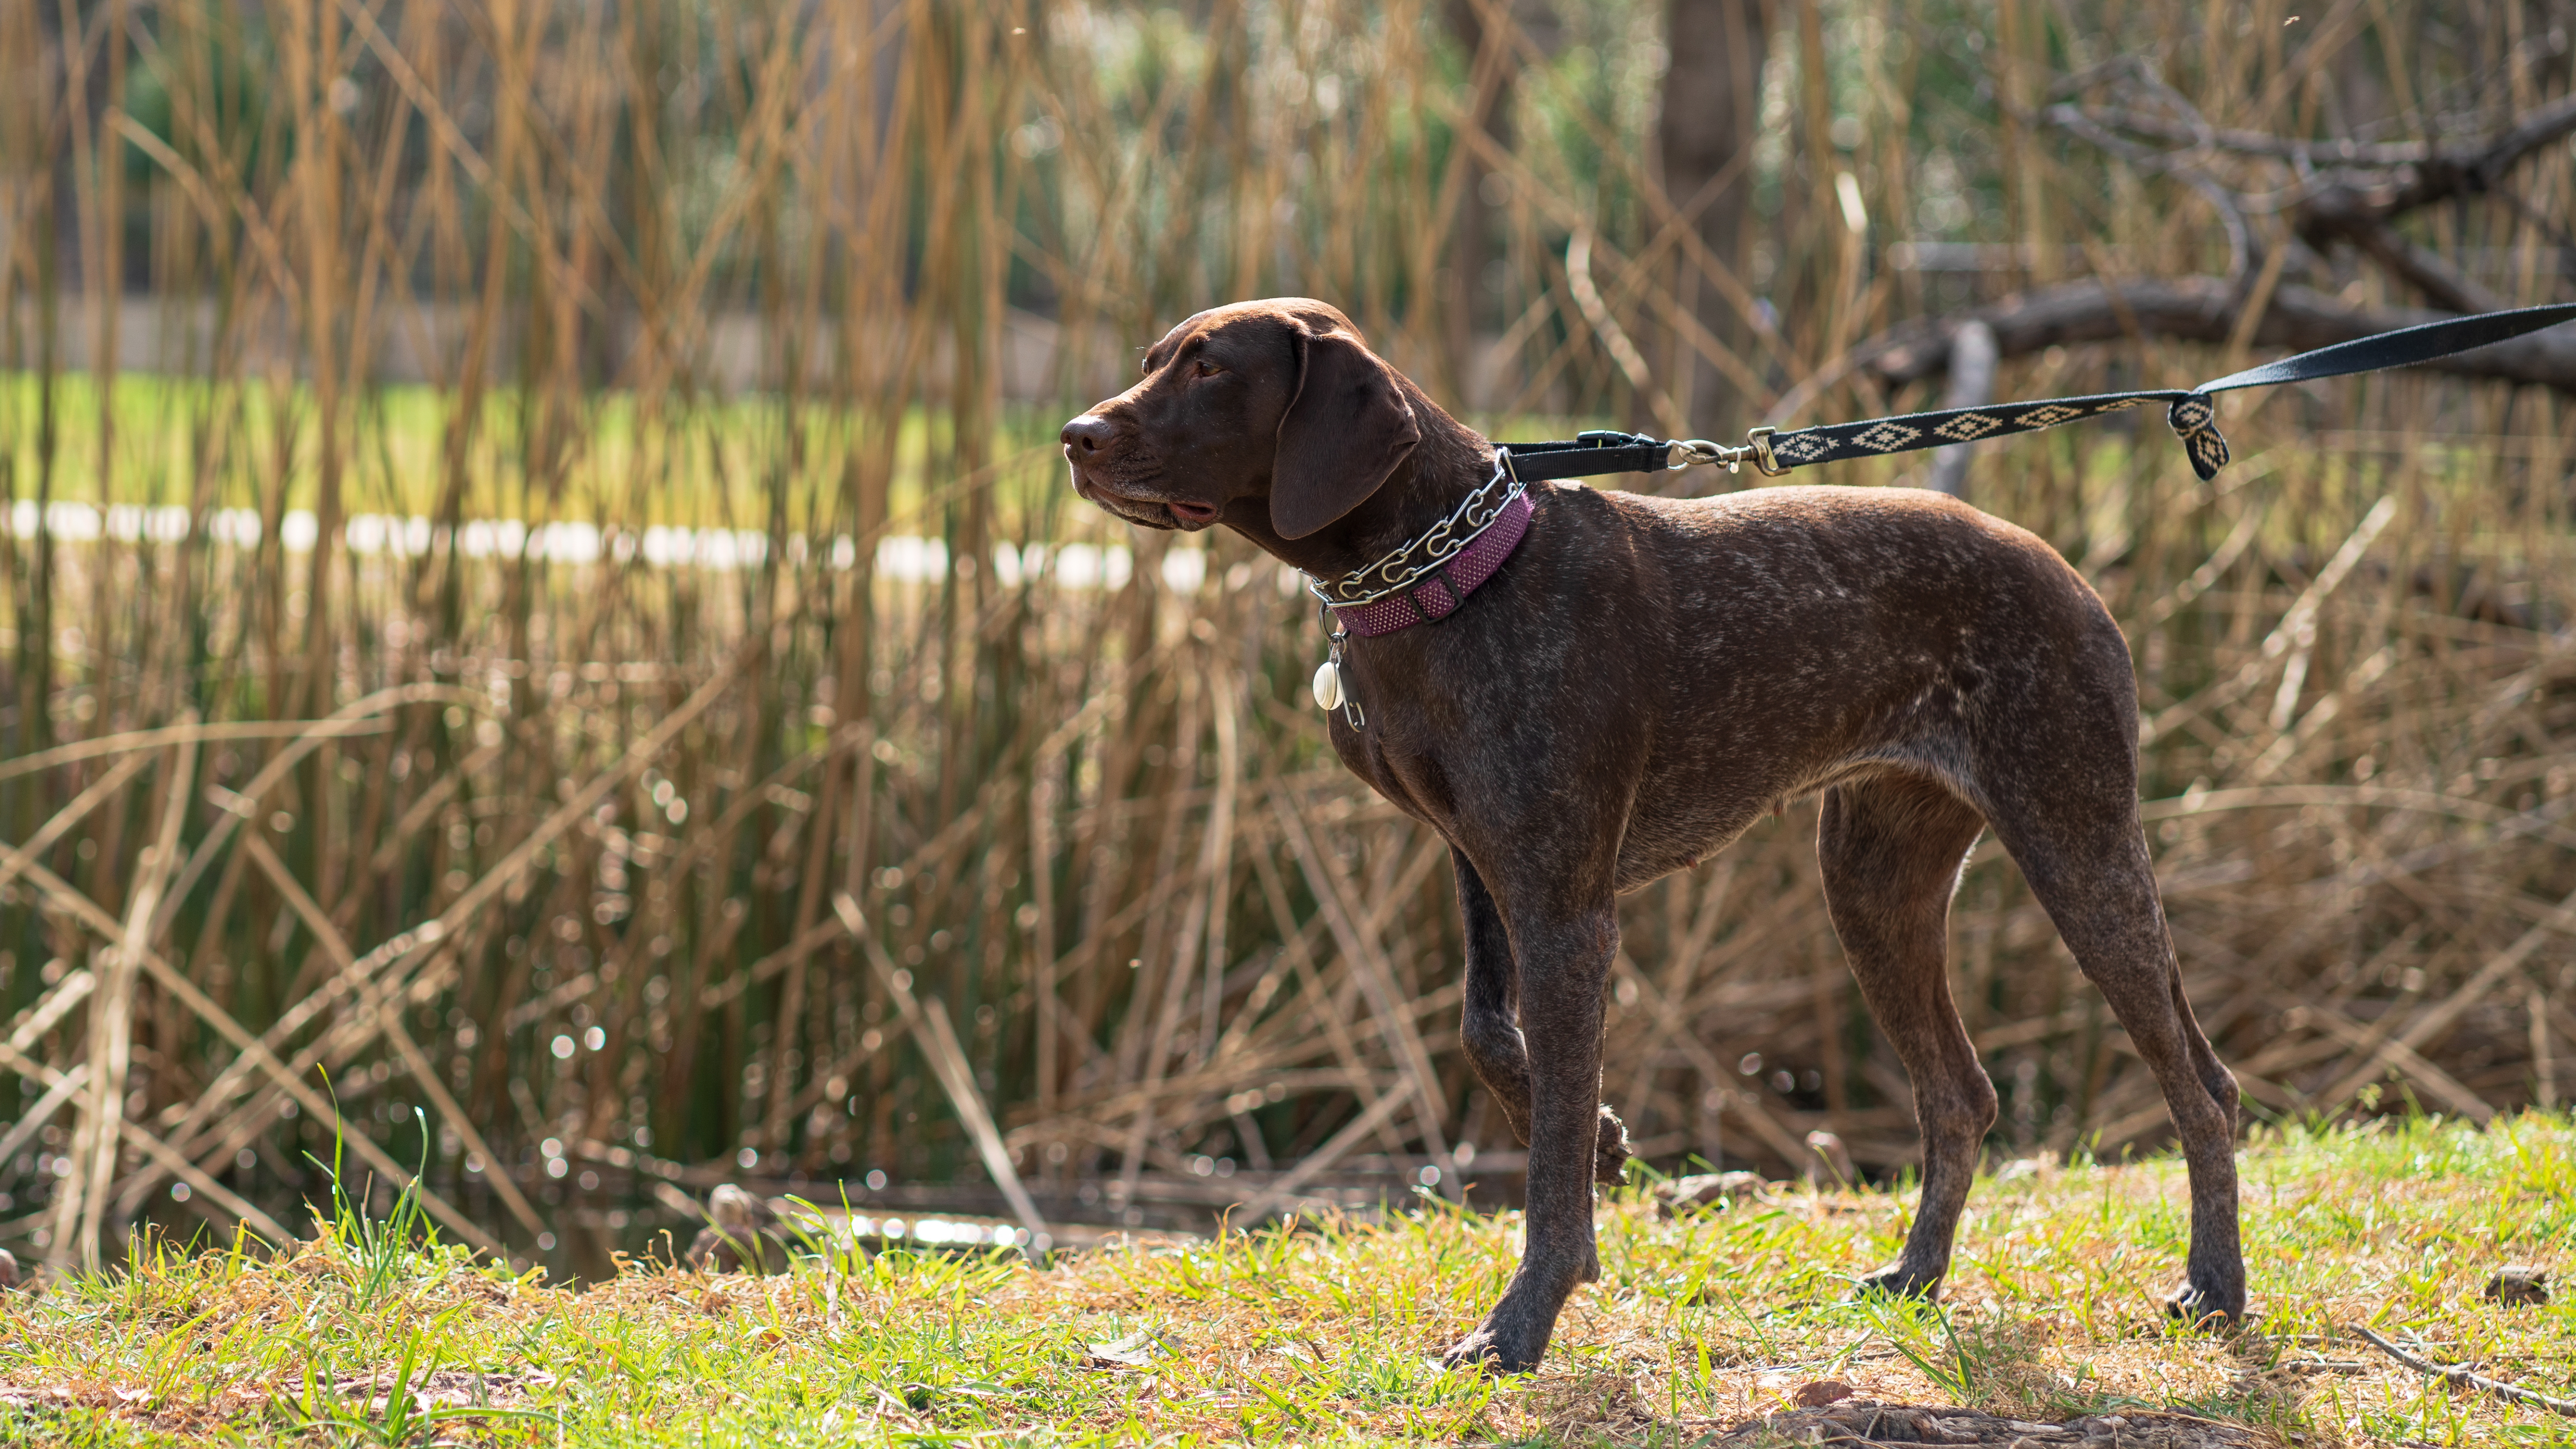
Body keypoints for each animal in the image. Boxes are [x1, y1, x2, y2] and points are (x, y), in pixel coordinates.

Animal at [1056, 301, 2246, 1361]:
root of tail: (2069, 574)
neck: (1447, 572)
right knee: (1963, 1095)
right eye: (1157, 359)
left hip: (2076, 846)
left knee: (2202, 1093)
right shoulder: (1488, 869)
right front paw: (1605, 1139)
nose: (1075, 437)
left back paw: (2216, 1289)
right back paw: (1916, 1276)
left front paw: (1521, 1322)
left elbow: (1546, 1163)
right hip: (1872, 883)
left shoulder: (1567, 910)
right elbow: (1490, 1039)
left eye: (1210, 369)